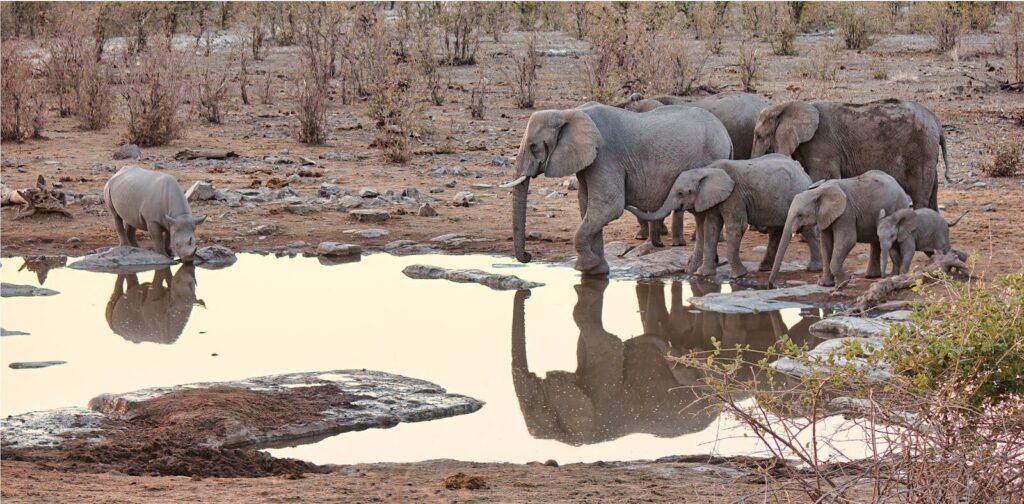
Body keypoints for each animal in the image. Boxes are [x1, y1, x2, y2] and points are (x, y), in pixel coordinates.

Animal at [507, 102, 733, 275]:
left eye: (534, 147)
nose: (528, 256)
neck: (568, 113)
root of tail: (726, 135)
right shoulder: (589, 160)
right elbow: (587, 205)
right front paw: (597, 271)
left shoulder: (605, 156)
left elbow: (608, 206)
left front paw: (586, 266)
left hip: (708, 161)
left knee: (702, 216)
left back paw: (696, 269)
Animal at [626, 154, 822, 278]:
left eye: (681, 193)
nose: (626, 203)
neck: (706, 170)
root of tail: (804, 174)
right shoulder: (715, 198)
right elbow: (711, 226)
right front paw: (703, 274)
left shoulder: (734, 195)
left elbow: (736, 226)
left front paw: (739, 276)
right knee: (776, 231)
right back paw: (764, 268)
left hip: (798, 195)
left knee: (805, 230)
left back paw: (813, 269)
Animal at [750, 98, 951, 210]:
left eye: (759, 136)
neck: (787, 105)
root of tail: (937, 122)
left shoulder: (822, 146)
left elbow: (821, 178)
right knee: (932, 192)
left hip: (921, 149)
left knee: (920, 195)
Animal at [769, 170, 913, 287]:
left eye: (800, 215)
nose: (771, 286)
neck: (818, 191)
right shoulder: (825, 216)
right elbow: (825, 243)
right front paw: (825, 284)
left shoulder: (846, 212)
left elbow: (848, 240)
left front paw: (845, 281)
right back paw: (871, 276)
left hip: (898, 207)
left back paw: (890, 276)